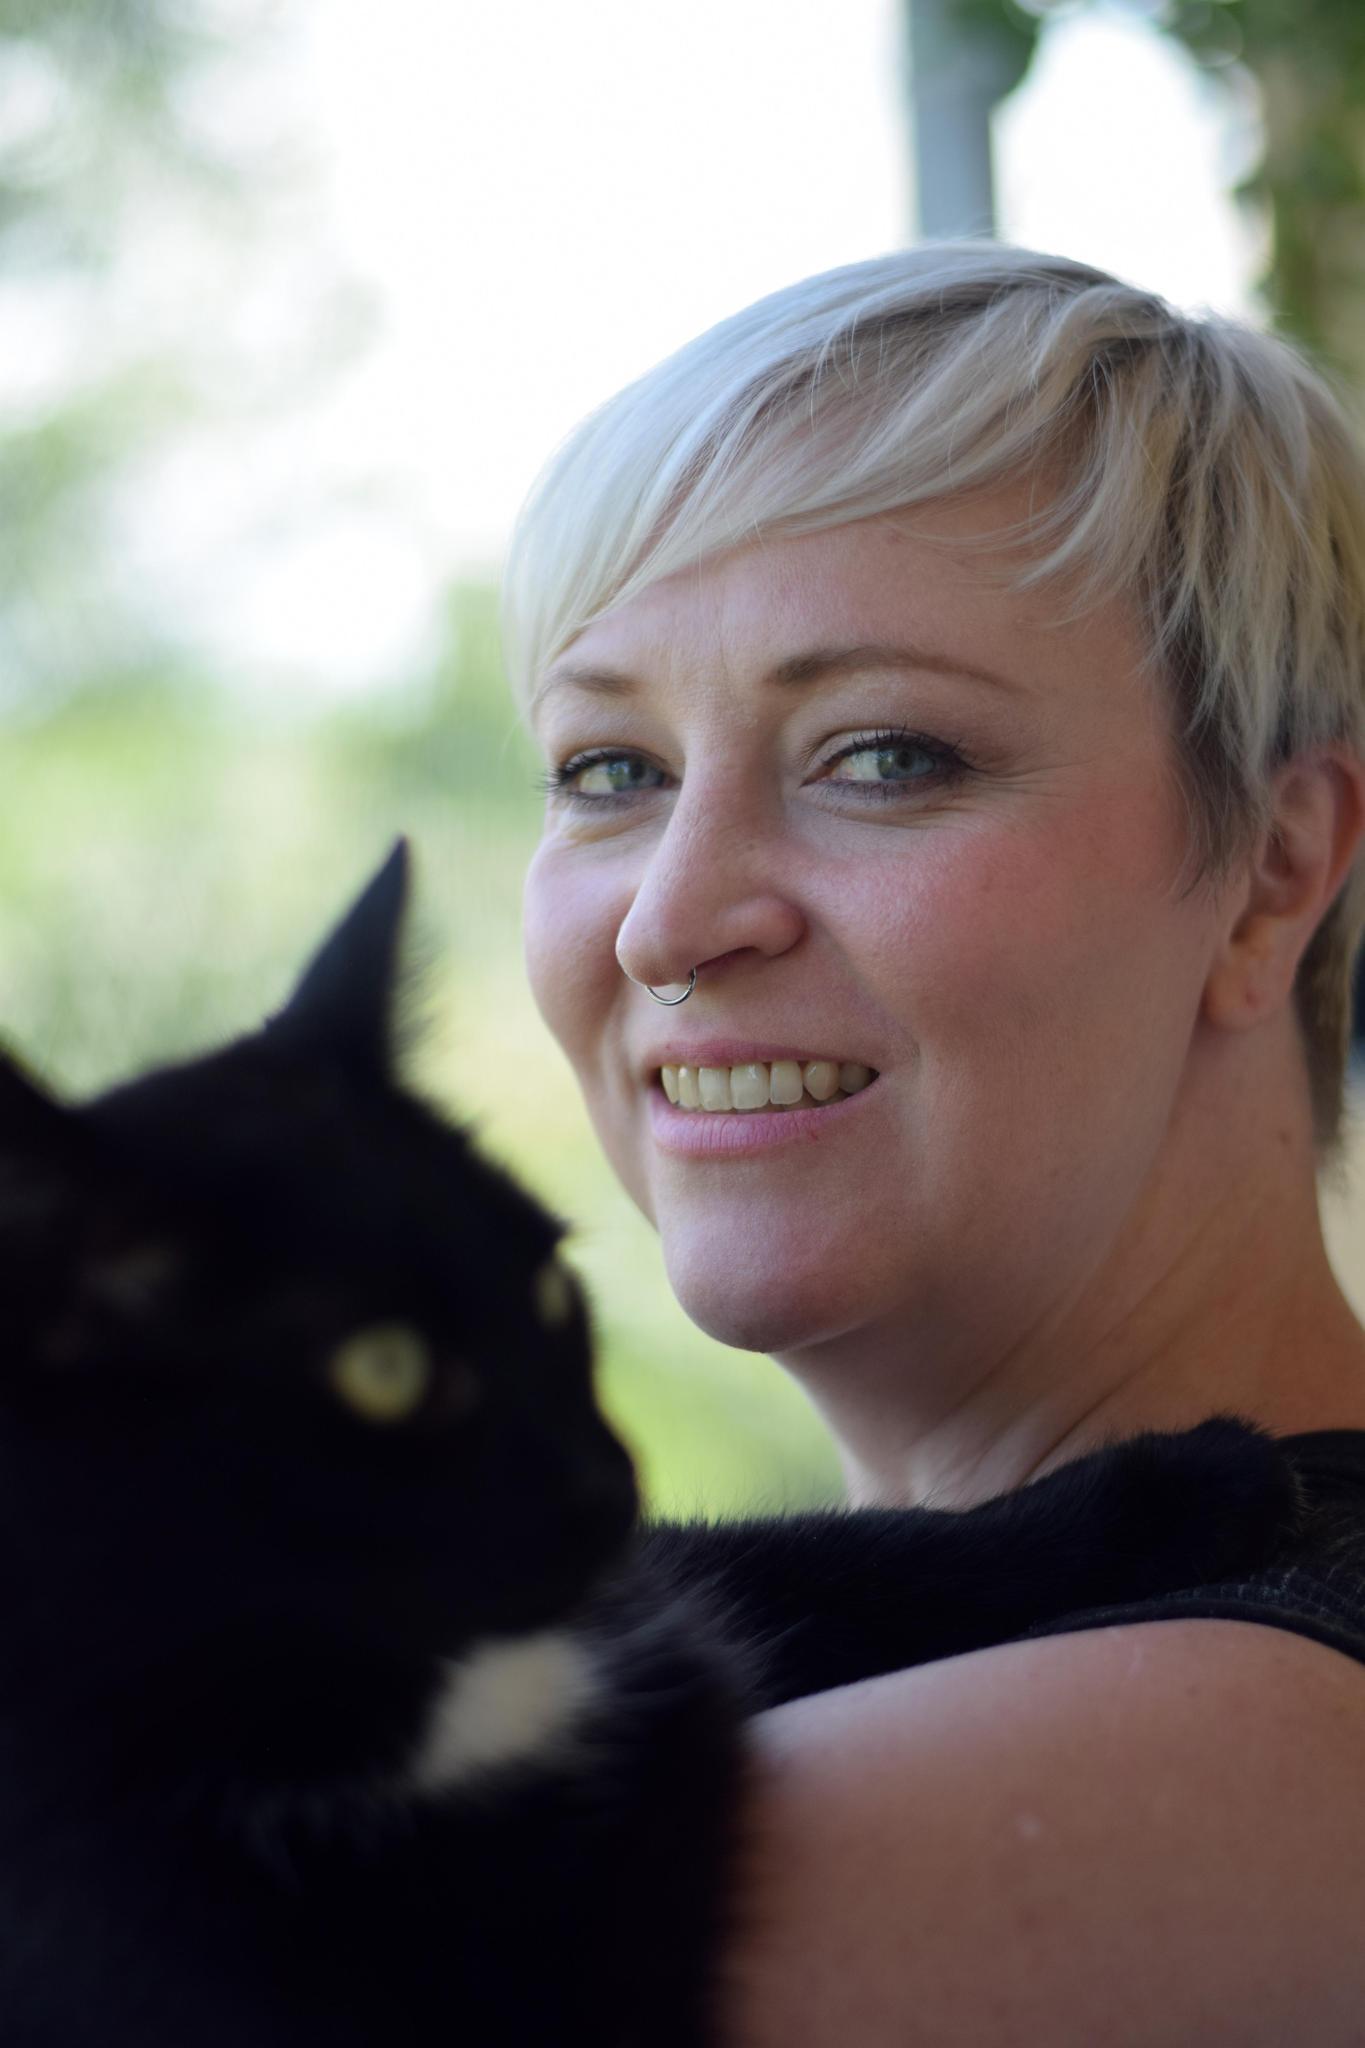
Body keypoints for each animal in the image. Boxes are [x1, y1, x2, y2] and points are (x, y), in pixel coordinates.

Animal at [0, 841, 1300, 2047]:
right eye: (382, 1369)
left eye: (547, 1286)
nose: (607, 1482)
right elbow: (692, 1721)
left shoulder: (659, 1579)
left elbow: (840, 1556)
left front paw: (1192, 1475)